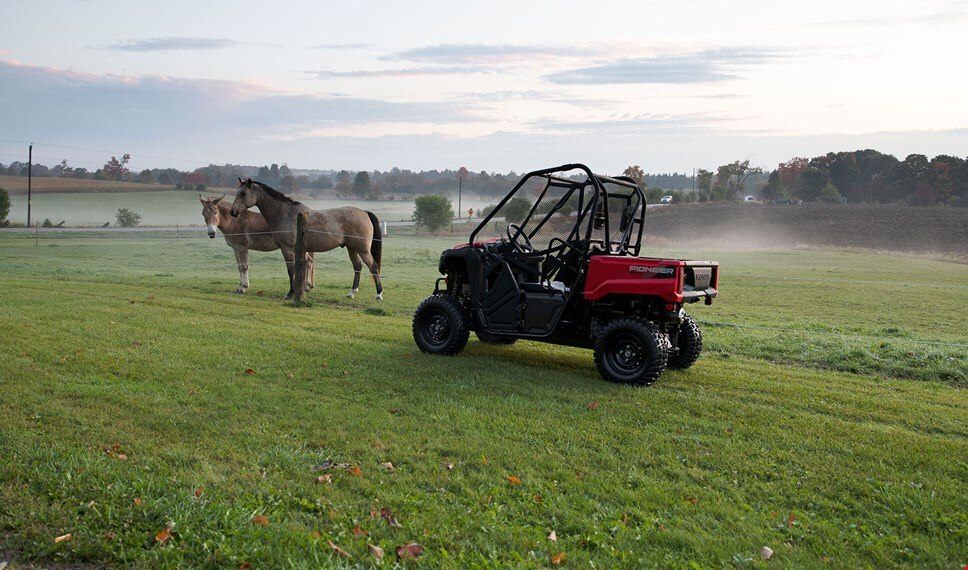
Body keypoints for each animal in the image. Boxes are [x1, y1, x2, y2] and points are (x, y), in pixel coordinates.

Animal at [230, 179, 382, 300]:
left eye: (243, 193)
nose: (233, 212)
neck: (286, 214)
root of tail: (364, 213)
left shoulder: (287, 249)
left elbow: (291, 270)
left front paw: (290, 293)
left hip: (362, 249)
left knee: (373, 267)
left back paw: (379, 294)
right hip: (352, 248)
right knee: (357, 267)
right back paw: (352, 293)